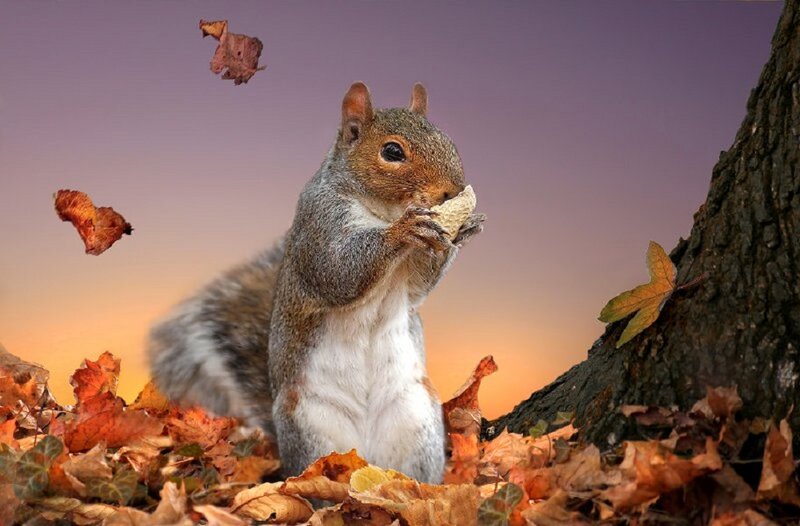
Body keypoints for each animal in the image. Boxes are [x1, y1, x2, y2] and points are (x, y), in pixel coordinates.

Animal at [148, 82, 485, 484]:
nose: (453, 190)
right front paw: (404, 231)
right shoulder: (318, 225)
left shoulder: (411, 279)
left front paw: (465, 227)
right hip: (310, 425)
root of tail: (366, 458)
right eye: (392, 151)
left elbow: (418, 288)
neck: (383, 212)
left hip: (417, 419)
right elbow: (337, 272)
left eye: (447, 140)